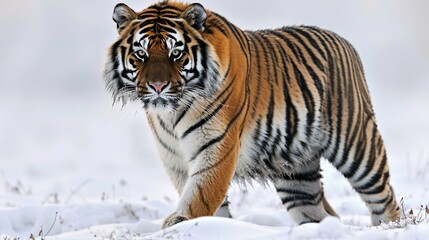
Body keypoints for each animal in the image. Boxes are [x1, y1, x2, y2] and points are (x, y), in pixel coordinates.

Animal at [103, 0, 402, 229]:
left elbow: (200, 195)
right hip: (296, 173)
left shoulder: (216, 148)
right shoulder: (174, 157)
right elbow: (203, 197)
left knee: (384, 198)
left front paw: (181, 223)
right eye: (141, 54)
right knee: (318, 211)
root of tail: (343, 42)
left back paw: (389, 227)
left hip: (357, 146)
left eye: (175, 53)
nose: (158, 86)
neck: (170, 114)